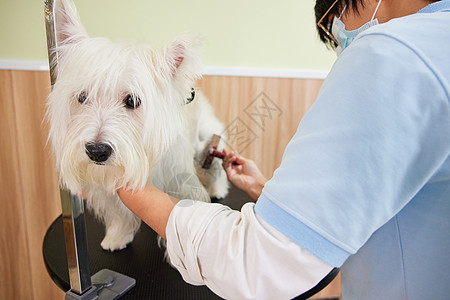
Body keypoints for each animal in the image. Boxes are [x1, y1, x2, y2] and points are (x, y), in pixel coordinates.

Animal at [46, 0, 229, 253]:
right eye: (82, 96)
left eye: (132, 101)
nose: (97, 151)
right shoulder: (109, 186)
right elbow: (118, 213)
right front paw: (117, 237)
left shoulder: (180, 183)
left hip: (209, 138)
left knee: (216, 163)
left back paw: (218, 189)